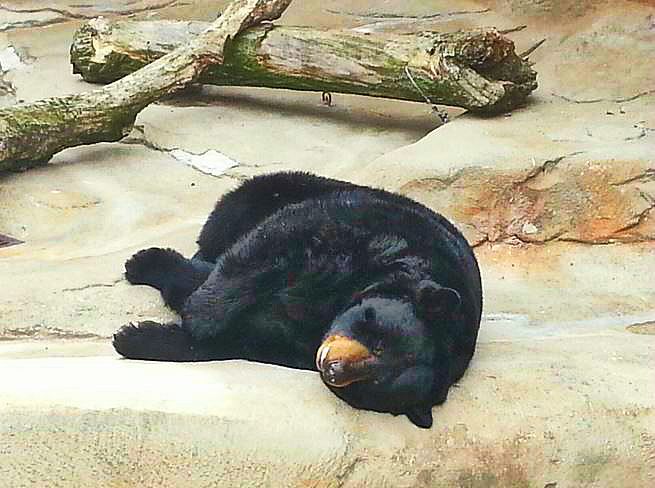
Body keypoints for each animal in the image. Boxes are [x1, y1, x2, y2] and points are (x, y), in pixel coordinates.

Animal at [113, 171, 482, 428]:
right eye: (375, 337)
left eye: (368, 384)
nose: (331, 367)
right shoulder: (368, 232)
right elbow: (269, 248)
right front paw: (192, 308)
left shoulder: (296, 346)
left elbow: (247, 339)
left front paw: (135, 337)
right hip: (279, 189)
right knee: (229, 222)